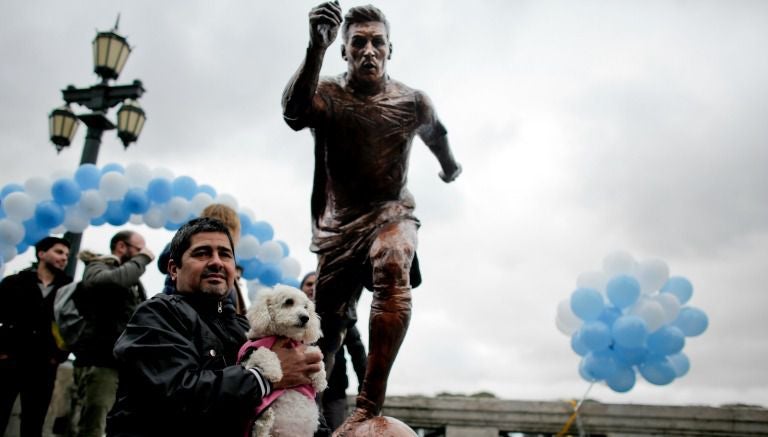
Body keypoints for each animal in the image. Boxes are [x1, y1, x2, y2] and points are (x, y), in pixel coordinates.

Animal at [237, 282, 328, 436]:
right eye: (289, 302)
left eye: (306, 307)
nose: (306, 318)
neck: (283, 337)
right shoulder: (248, 357)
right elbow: (264, 352)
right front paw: (274, 372)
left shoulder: (304, 348)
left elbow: (315, 352)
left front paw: (321, 380)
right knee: (260, 428)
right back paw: (265, 419)